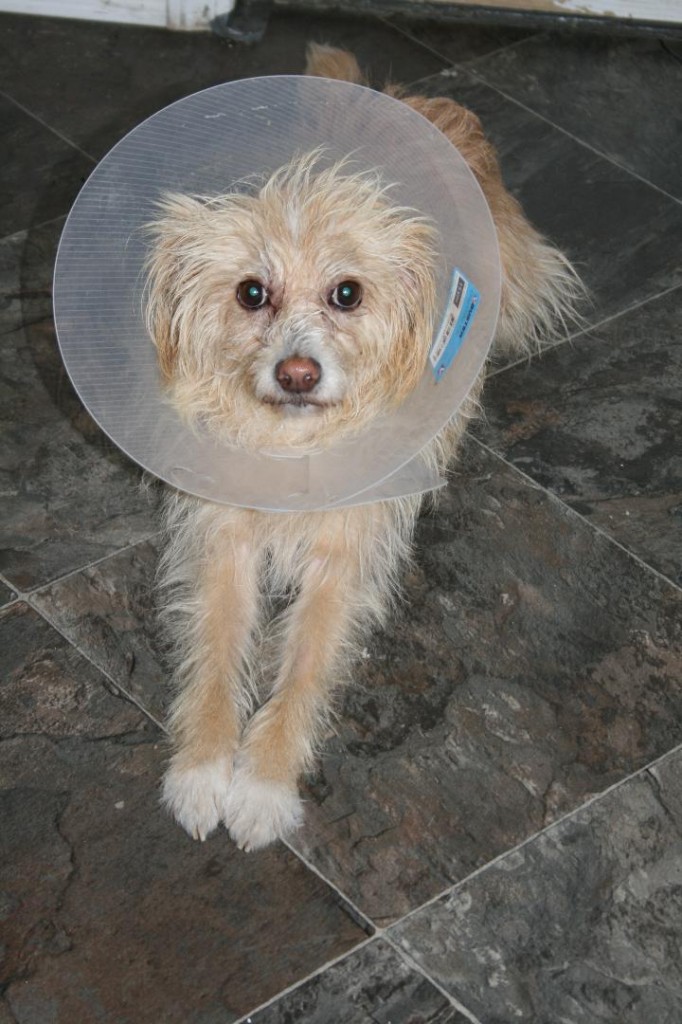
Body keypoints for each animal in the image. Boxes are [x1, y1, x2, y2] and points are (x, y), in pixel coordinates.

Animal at [143, 46, 577, 847]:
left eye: (348, 294)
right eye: (251, 293)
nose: (298, 373)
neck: (296, 446)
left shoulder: (342, 565)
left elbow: (305, 668)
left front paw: (263, 786)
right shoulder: (223, 544)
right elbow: (215, 656)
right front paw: (203, 769)